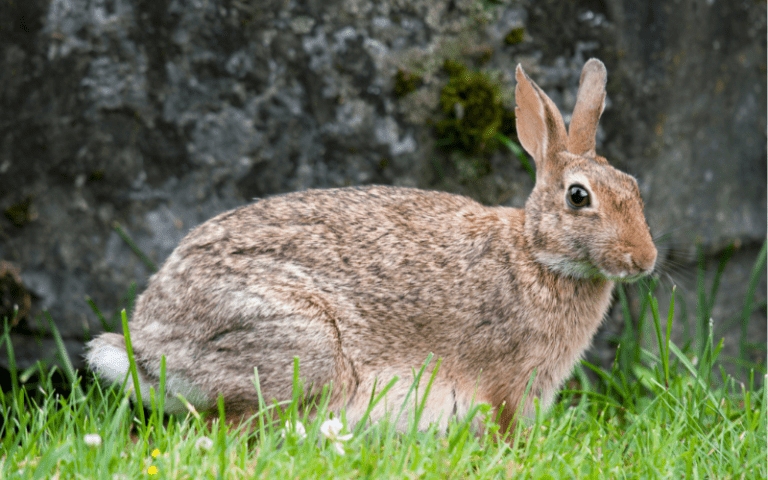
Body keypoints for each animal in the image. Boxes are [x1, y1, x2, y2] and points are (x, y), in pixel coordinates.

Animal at [86, 58, 657, 435]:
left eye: (633, 186)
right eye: (579, 197)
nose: (645, 260)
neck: (536, 254)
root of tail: (148, 348)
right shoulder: (507, 381)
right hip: (303, 344)